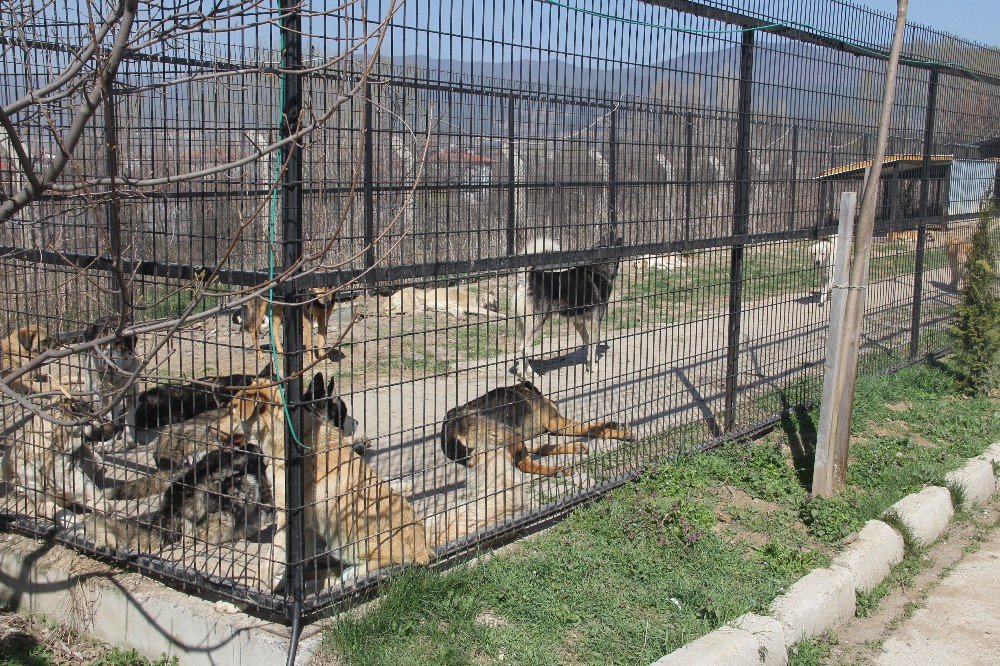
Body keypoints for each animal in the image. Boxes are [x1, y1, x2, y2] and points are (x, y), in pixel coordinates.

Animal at [215, 370, 434, 584]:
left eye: (233, 408)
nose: (212, 429)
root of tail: (423, 550)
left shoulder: (287, 522)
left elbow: (269, 564)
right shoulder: (305, 527)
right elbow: (295, 561)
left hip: (351, 546)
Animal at [440, 378, 632, 478]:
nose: (555, 402)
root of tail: (450, 432)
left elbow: (592, 426)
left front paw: (614, 425)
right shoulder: (556, 422)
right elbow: (589, 427)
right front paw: (618, 432)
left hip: (513, 437)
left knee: (542, 449)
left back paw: (574, 447)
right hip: (507, 434)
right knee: (524, 464)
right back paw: (557, 470)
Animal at [512, 236, 620, 376]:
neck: (599, 269)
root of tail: (529, 277)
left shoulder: (578, 322)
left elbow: (587, 342)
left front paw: (592, 359)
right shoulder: (595, 321)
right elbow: (593, 344)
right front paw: (593, 367)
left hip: (524, 326)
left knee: (522, 349)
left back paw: (526, 371)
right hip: (536, 325)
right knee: (523, 349)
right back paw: (525, 374)